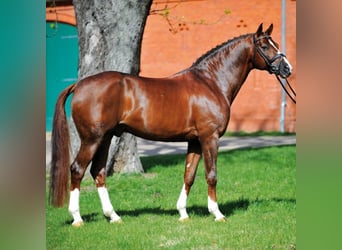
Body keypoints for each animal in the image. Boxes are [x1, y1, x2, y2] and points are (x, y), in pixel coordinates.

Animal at [49, 23, 292, 227]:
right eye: (264, 46)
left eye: (276, 45)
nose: (287, 69)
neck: (211, 82)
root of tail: (79, 85)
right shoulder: (209, 138)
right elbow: (211, 174)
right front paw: (217, 213)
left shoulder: (195, 141)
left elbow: (189, 175)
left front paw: (183, 213)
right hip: (92, 139)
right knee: (77, 170)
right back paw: (77, 218)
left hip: (106, 137)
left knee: (98, 172)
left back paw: (114, 216)